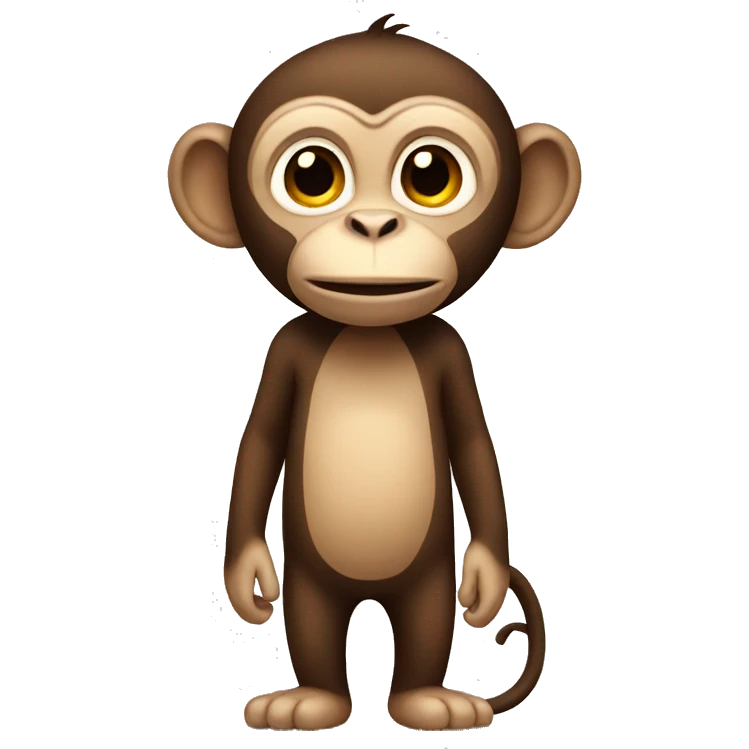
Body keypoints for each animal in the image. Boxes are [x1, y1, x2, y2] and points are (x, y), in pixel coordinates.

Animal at [169, 14, 581, 731]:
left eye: (430, 174)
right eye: (311, 176)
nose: (372, 224)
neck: (369, 335)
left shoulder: (446, 350)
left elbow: (473, 445)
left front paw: (486, 575)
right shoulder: (288, 349)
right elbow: (261, 441)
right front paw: (246, 576)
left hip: (426, 576)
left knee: (424, 622)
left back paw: (428, 701)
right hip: (311, 577)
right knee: (312, 621)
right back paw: (311, 701)